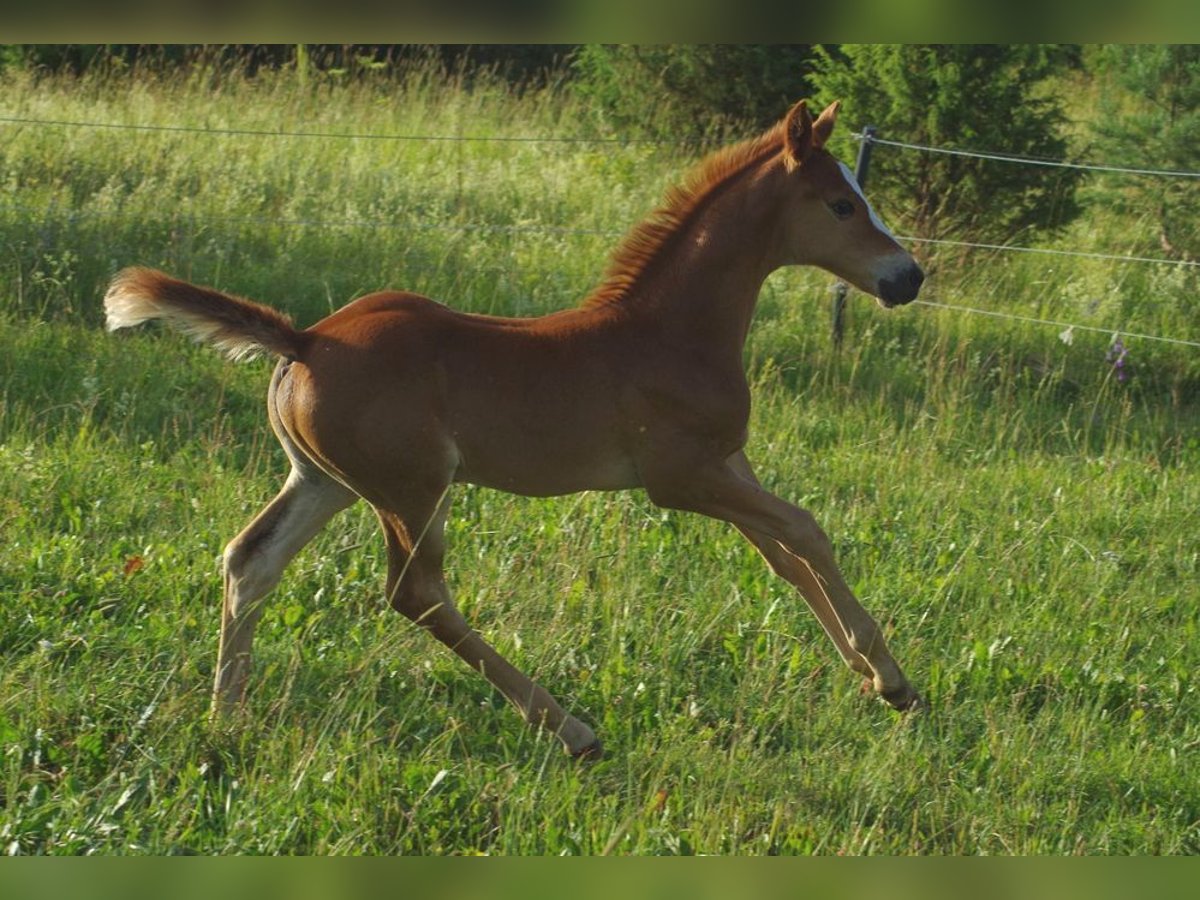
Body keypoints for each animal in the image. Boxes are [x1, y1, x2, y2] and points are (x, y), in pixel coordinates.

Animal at [105, 102, 926, 758]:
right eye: (842, 205)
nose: (909, 277)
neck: (668, 332)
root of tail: (304, 340)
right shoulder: (680, 478)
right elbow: (808, 529)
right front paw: (889, 677)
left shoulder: (727, 464)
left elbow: (785, 555)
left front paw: (872, 677)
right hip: (412, 487)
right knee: (416, 592)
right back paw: (571, 729)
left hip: (325, 481)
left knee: (252, 561)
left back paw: (228, 715)